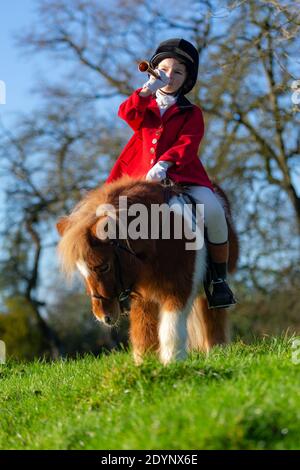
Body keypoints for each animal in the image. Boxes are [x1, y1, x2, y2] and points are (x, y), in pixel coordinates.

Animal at [56, 175, 239, 364]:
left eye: (104, 266)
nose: (102, 316)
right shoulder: (143, 296)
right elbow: (143, 331)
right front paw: (145, 363)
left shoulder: (179, 288)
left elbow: (171, 328)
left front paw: (172, 362)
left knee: (213, 315)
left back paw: (217, 350)